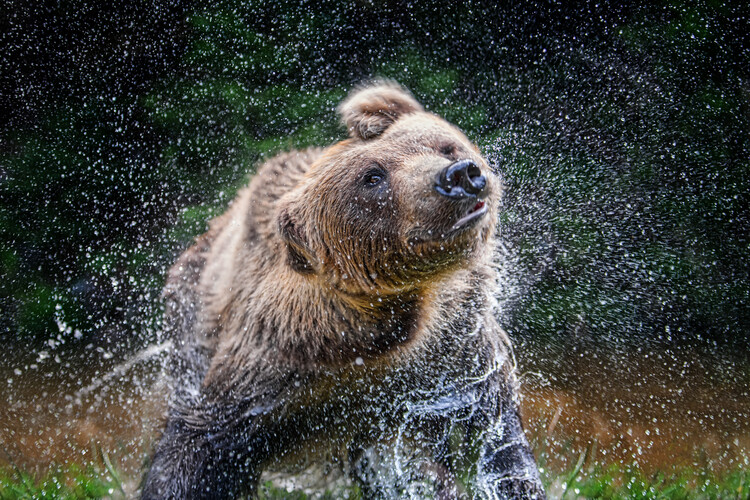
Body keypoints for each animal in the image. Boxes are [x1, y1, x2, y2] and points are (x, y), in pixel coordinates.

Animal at [142, 81, 545, 499]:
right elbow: (198, 443)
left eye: (446, 146)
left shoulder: (452, 352)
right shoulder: (276, 362)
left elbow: (493, 438)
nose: (460, 175)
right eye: (372, 177)